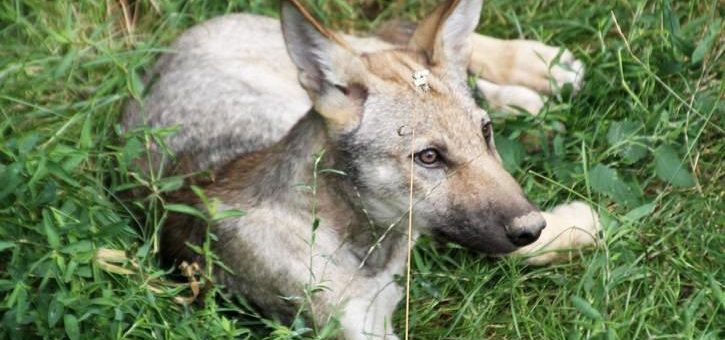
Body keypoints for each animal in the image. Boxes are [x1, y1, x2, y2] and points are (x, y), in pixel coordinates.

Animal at [123, 0, 600, 338]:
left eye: (484, 133)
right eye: (429, 157)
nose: (530, 226)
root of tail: (166, 54)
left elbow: (505, 245)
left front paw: (570, 227)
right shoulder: (363, 326)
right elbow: (489, 240)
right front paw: (573, 226)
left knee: (397, 33)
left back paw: (539, 71)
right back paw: (534, 96)